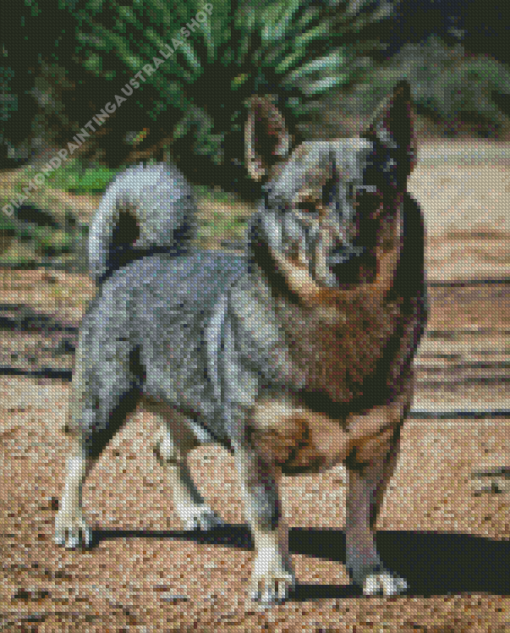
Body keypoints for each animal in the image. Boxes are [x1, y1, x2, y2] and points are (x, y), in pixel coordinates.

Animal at [55, 81, 426, 604]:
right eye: (306, 206)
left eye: (371, 201)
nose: (347, 260)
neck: (337, 323)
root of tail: (123, 263)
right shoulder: (255, 449)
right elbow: (269, 517)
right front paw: (273, 575)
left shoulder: (377, 451)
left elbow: (361, 518)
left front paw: (369, 568)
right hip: (104, 405)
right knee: (76, 460)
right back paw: (71, 521)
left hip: (201, 418)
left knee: (165, 448)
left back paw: (193, 510)